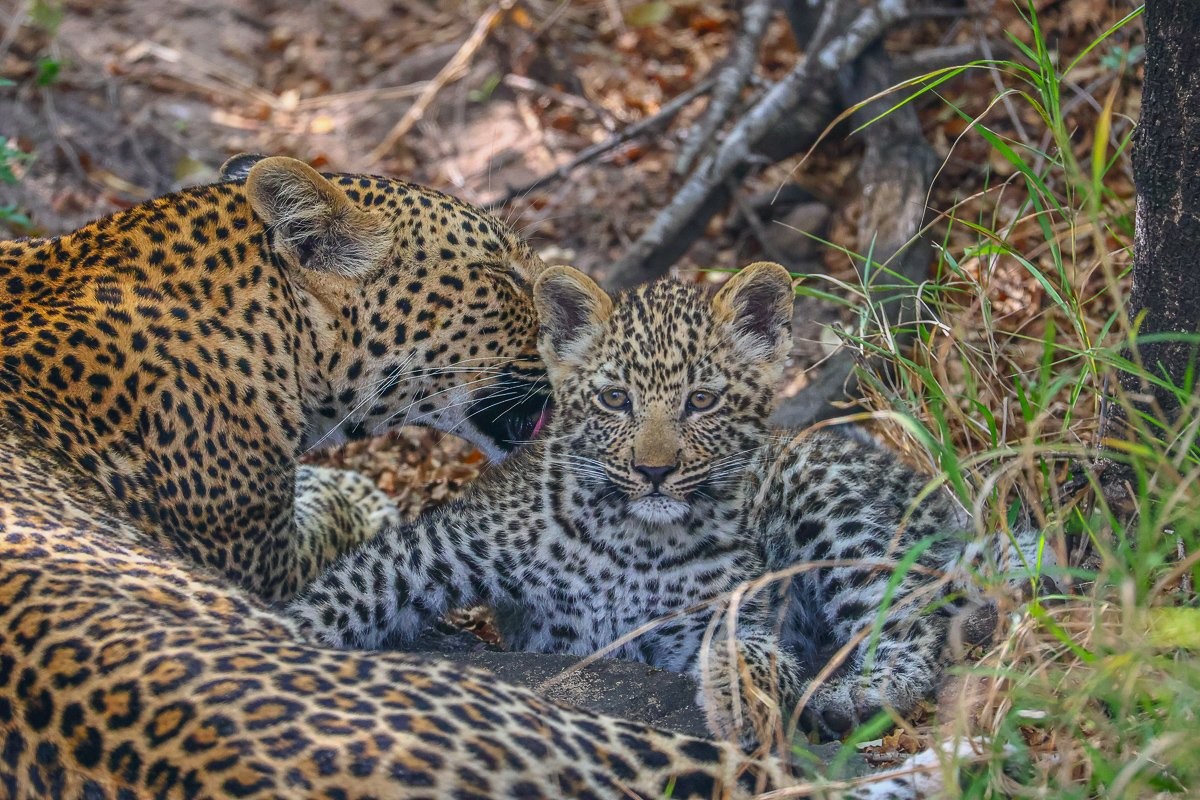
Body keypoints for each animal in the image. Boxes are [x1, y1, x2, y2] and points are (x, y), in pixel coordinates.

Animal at [289, 261, 1051, 746]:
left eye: (702, 402)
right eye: (614, 399)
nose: (654, 472)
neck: (631, 545)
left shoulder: (710, 621)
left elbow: (753, 651)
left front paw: (743, 701)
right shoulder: (431, 546)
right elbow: (341, 596)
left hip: (827, 500)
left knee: (915, 623)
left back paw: (852, 700)